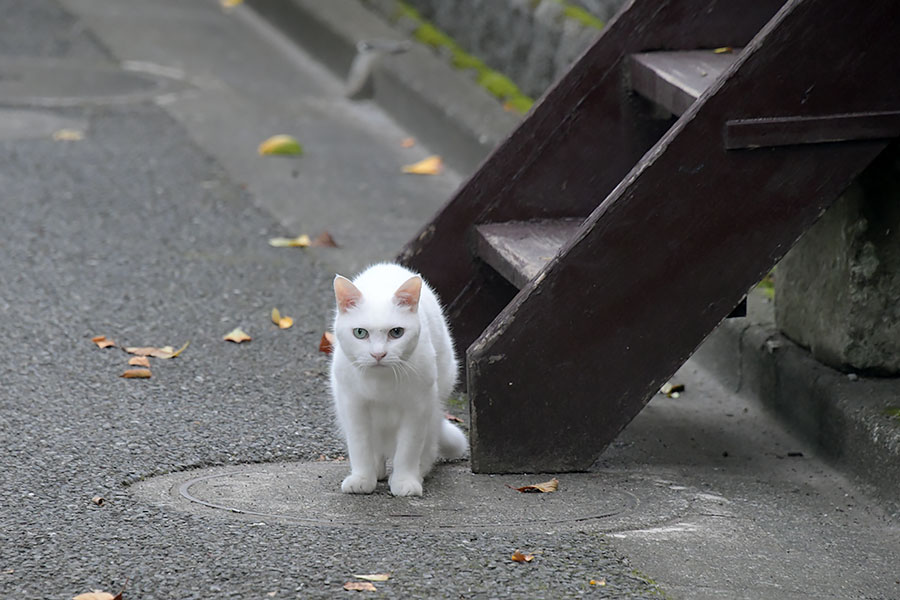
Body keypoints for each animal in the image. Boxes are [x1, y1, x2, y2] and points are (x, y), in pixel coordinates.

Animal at [332, 262, 472, 496]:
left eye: (396, 332)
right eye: (360, 333)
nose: (378, 354)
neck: (381, 383)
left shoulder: (417, 407)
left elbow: (408, 448)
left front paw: (405, 480)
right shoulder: (353, 406)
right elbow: (360, 445)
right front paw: (362, 478)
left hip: (436, 399)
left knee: (429, 443)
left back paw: (419, 471)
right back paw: (377, 469)